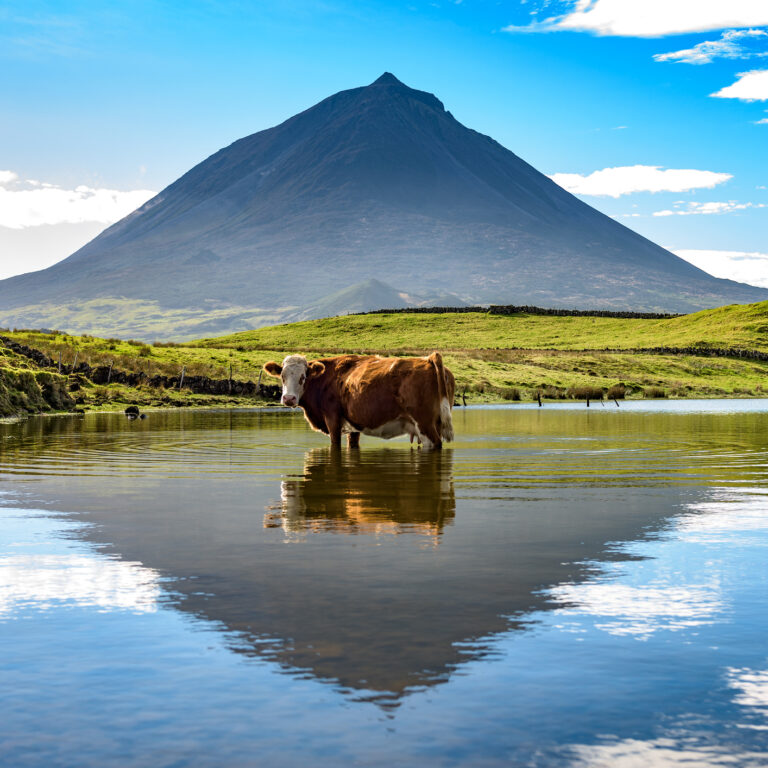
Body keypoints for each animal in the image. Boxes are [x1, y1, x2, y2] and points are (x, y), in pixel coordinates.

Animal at [264, 354, 456, 450]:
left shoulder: (333, 419)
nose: (289, 399)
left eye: (303, 377)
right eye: (282, 376)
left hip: (425, 424)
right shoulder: (353, 425)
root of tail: (428, 359)